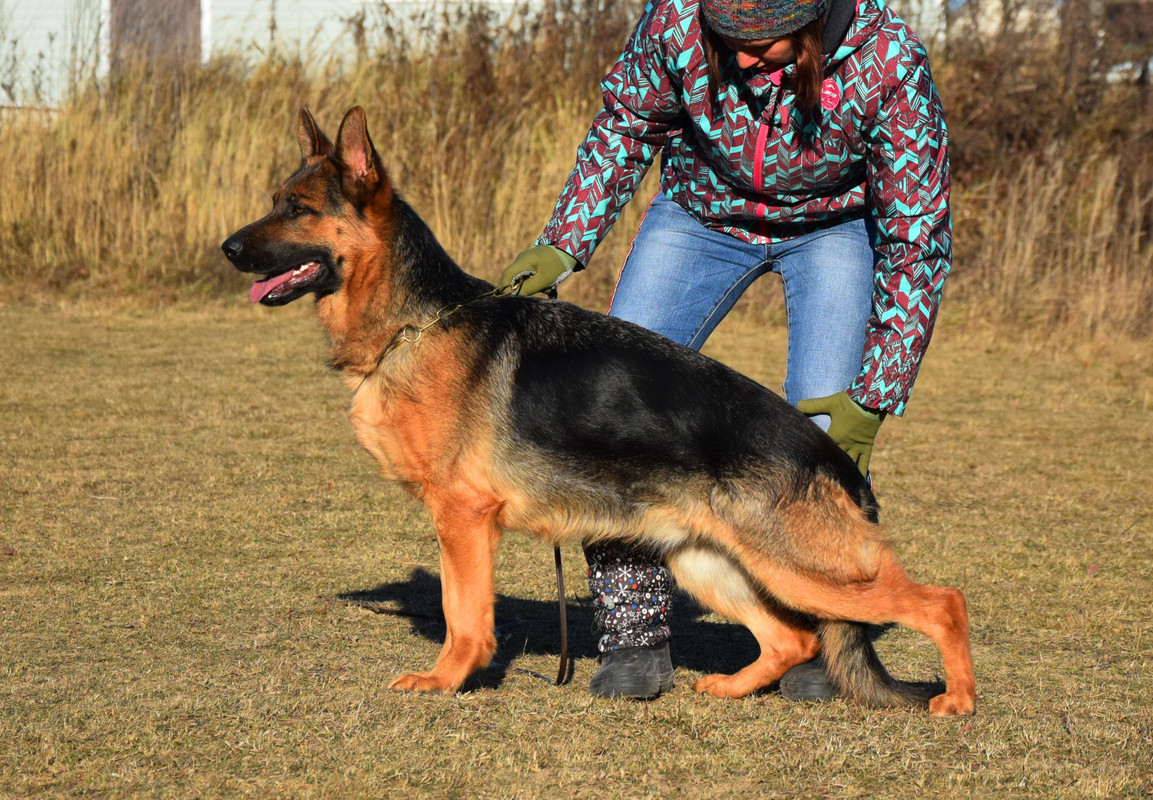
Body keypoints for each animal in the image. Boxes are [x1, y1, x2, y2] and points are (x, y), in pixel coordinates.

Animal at [222, 109, 973, 719]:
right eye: (276, 203)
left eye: (298, 209)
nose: (227, 250)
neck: (416, 322)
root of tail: (832, 457)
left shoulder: (462, 517)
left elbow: (462, 615)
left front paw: (444, 681)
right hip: (711, 562)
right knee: (792, 639)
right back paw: (729, 689)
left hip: (807, 571)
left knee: (942, 602)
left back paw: (958, 699)